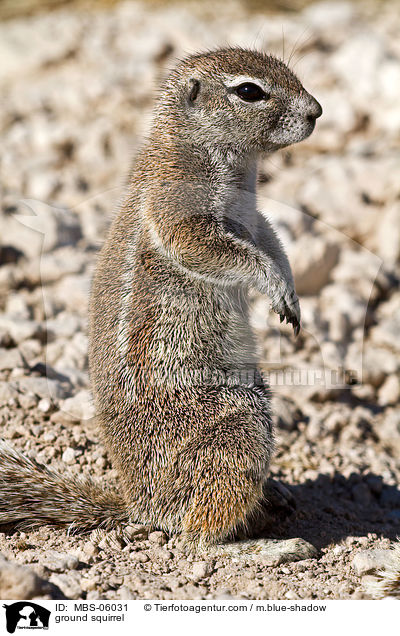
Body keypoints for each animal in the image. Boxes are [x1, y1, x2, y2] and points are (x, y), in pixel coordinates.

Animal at [0, 49, 322, 560]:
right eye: (249, 91)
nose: (317, 111)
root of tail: (140, 503)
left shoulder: (256, 218)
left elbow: (272, 241)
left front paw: (289, 288)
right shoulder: (178, 205)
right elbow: (207, 248)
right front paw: (273, 282)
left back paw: (274, 496)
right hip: (239, 426)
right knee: (196, 536)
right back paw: (257, 546)